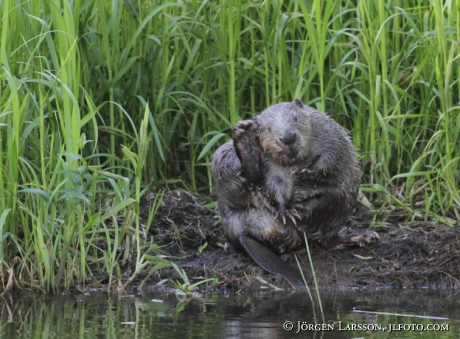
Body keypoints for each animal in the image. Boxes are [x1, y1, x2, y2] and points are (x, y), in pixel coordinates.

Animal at [212, 98, 378, 286]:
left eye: (295, 118)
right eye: (267, 128)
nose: (287, 137)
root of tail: (241, 233)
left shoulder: (328, 132)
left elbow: (330, 156)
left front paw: (306, 174)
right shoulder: (270, 164)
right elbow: (275, 185)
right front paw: (287, 211)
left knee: (324, 240)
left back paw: (362, 236)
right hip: (224, 162)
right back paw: (245, 141)